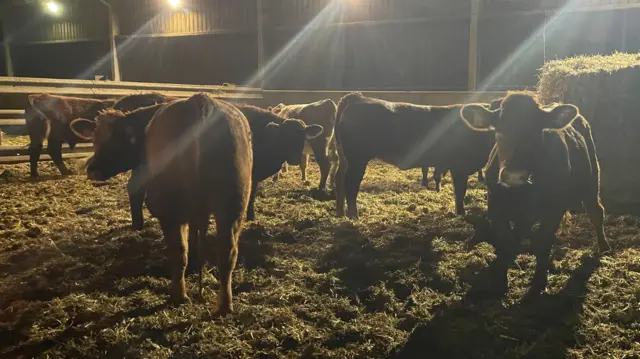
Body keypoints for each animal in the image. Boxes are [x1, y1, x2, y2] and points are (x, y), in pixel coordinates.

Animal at [145, 92, 252, 312]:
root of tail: (200, 99)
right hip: (233, 204)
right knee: (226, 252)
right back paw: (223, 306)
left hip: (171, 207)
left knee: (179, 251)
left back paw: (180, 296)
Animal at [336, 93, 500, 219]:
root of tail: (356, 97)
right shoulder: (459, 167)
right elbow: (459, 192)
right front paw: (460, 214)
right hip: (357, 159)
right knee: (350, 184)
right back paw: (354, 216)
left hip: (345, 159)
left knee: (340, 181)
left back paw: (341, 213)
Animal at [460, 90, 608, 296]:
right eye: (498, 132)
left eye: (536, 132)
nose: (514, 175)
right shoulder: (496, 205)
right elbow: (504, 239)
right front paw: (500, 279)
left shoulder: (554, 209)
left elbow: (542, 242)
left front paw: (539, 281)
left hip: (592, 181)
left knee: (596, 212)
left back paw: (604, 247)